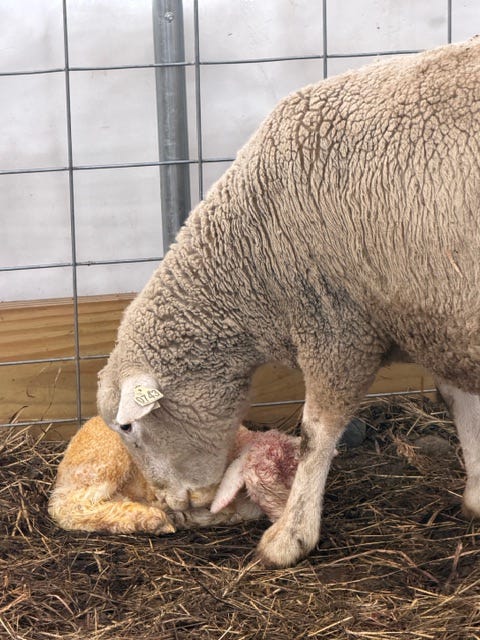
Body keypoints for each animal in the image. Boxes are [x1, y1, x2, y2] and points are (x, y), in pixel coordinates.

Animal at [97, 37, 480, 568]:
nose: (173, 507)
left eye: (128, 427)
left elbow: (315, 434)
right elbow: (459, 400)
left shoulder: (337, 326)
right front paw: (477, 493)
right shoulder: (434, 315)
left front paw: (290, 537)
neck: (255, 257)